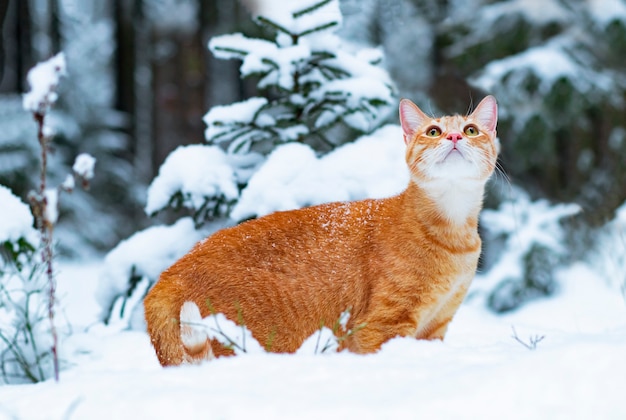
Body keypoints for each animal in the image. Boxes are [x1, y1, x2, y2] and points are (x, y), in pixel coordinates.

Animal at [143, 95, 498, 364]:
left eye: (471, 130)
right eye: (434, 131)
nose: (454, 137)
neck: (454, 232)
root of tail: (166, 277)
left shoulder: (435, 327)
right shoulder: (381, 327)